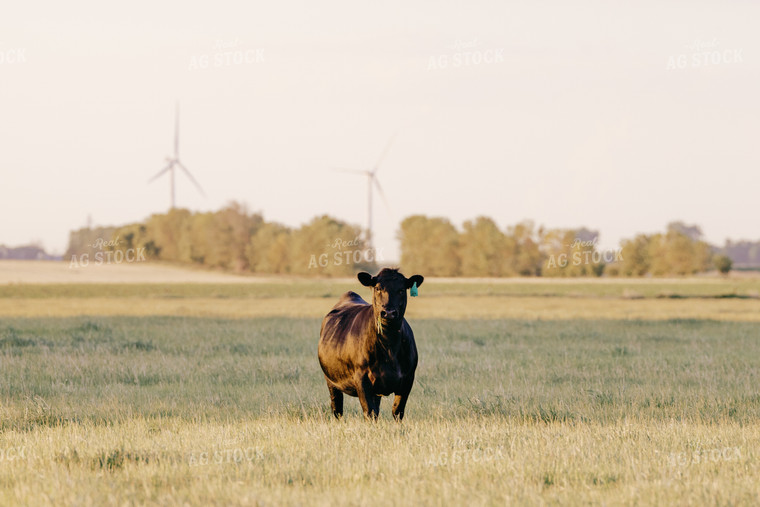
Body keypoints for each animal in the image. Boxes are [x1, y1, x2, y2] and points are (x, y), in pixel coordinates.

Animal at [318, 270, 424, 420]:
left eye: (402, 290)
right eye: (378, 288)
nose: (389, 313)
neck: (389, 346)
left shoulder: (407, 379)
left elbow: (397, 412)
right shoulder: (362, 379)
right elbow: (369, 412)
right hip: (331, 381)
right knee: (337, 409)